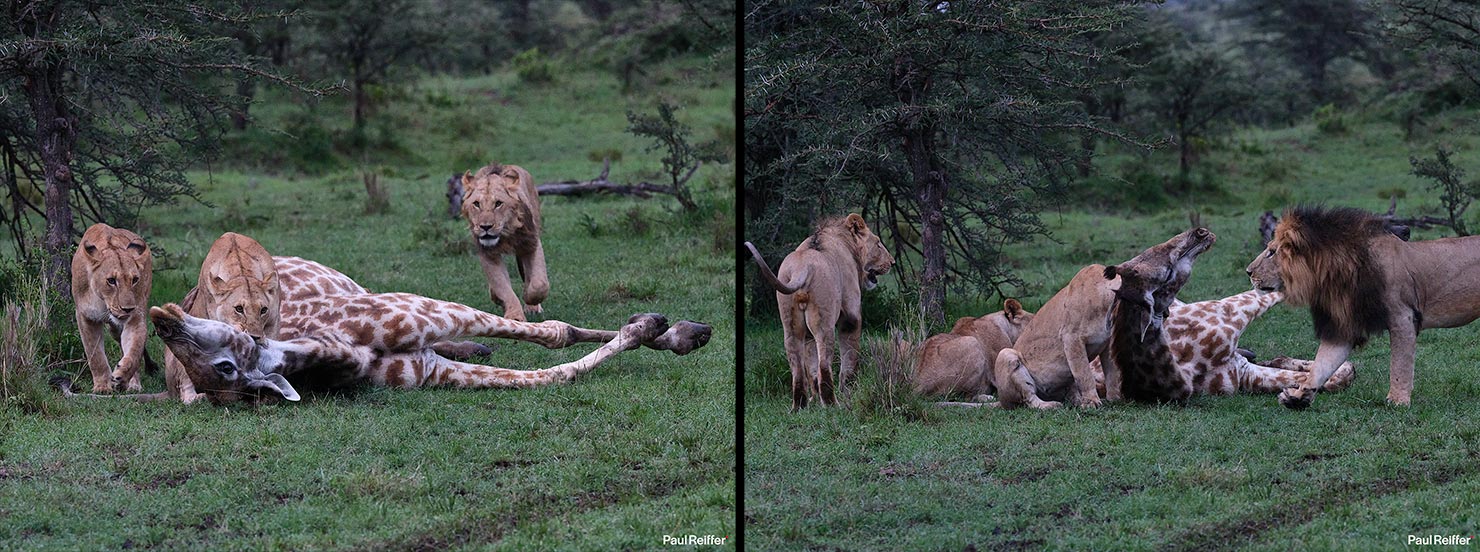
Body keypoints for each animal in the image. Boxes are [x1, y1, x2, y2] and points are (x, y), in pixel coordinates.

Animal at [71, 223, 156, 392]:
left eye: (135, 280)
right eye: (111, 280)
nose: (127, 309)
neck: (103, 302)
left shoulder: (136, 317)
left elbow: (135, 349)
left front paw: (122, 376)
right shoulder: (85, 317)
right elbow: (95, 355)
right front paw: (102, 387)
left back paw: (133, 383)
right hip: (114, 329)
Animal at [461, 163, 548, 322]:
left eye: (498, 203)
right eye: (476, 204)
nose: (485, 227)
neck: (505, 234)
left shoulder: (531, 243)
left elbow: (539, 284)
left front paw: (529, 299)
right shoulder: (488, 254)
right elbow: (502, 285)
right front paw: (515, 317)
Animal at [745, 213, 895, 411]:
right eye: (878, 243)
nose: (892, 262)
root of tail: (802, 267)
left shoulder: (810, 334)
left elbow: (811, 367)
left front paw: (816, 399)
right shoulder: (851, 315)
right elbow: (849, 358)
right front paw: (849, 391)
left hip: (790, 324)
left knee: (798, 368)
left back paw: (800, 406)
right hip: (825, 323)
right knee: (824, 364)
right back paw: (832, 404)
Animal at [1247, 205, 1480, 409]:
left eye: (1271, 252)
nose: (1248, 271)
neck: (1333, 275)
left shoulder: (1403, 317)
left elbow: (1400, 364)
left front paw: (1397, 401)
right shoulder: (1343, 326)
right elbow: (1322, 365)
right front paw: (1297, 398)